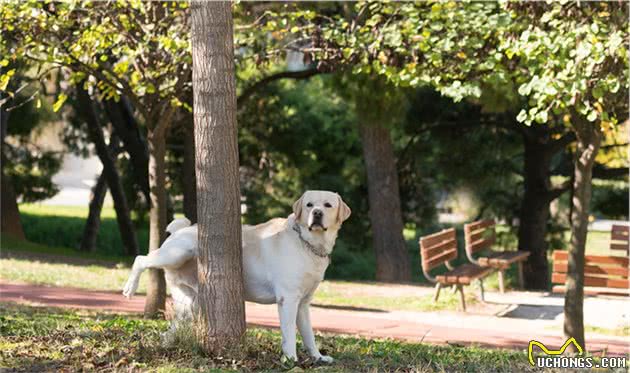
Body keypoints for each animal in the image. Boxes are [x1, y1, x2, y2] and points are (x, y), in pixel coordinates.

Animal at [123, 190, 350, 362]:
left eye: (327, 205)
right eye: (309, 205)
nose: (317, 213)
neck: (308, 243)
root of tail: (182, 228)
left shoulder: (303, 304)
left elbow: (309, 335)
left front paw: (318, 357)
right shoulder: (288, 300)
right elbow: (289, 334)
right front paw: (291, 359)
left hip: (190, 302)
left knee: (171, 329)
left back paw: (166, 345)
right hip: (176, 253)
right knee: (140, 259)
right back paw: (129, 288)